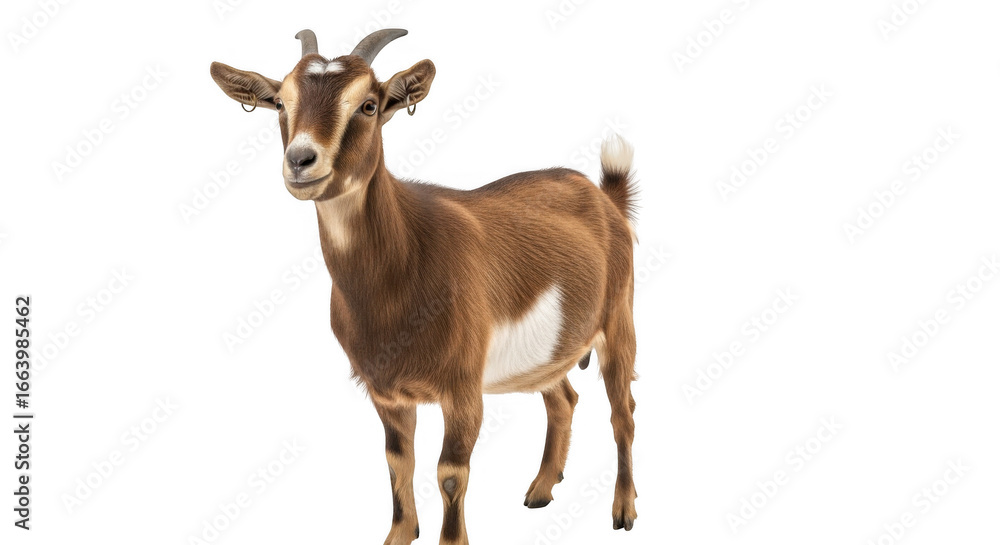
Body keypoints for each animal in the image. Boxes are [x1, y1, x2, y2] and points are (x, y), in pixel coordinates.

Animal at [210, 29, 639, 544]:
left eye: (368, 105)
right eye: (279, 103)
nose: (300, 160)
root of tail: (605, 197)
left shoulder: (463, 387)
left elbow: (450, 473)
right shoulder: (386, 392)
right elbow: (398, 462)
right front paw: (399, 533)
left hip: (619, 318)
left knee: (622, 412)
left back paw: (623, 510)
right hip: (548, 354)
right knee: (563, 399)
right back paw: (540, 490)